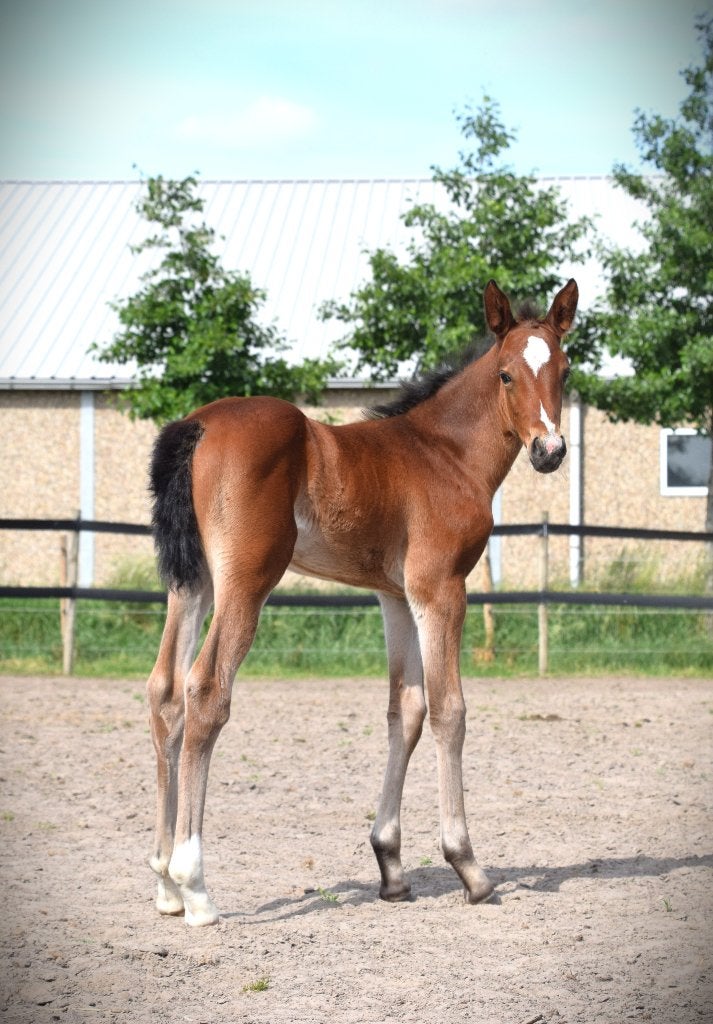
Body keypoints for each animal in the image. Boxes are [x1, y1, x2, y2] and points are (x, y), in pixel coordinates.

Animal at [146, 277, 578, 925]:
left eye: (565, 370)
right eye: (506, 374)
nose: (549, 450)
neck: (444, 452)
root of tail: (196, 424)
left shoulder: (396, 597)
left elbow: (406, 711)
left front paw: (391, 867)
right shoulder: (441, 588)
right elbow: (450, 710)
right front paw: (469, 867)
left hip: (192, 583)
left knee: (165, 690)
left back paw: (164, 883)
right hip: (246, 581)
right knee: (206, 691)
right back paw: (194, 885)